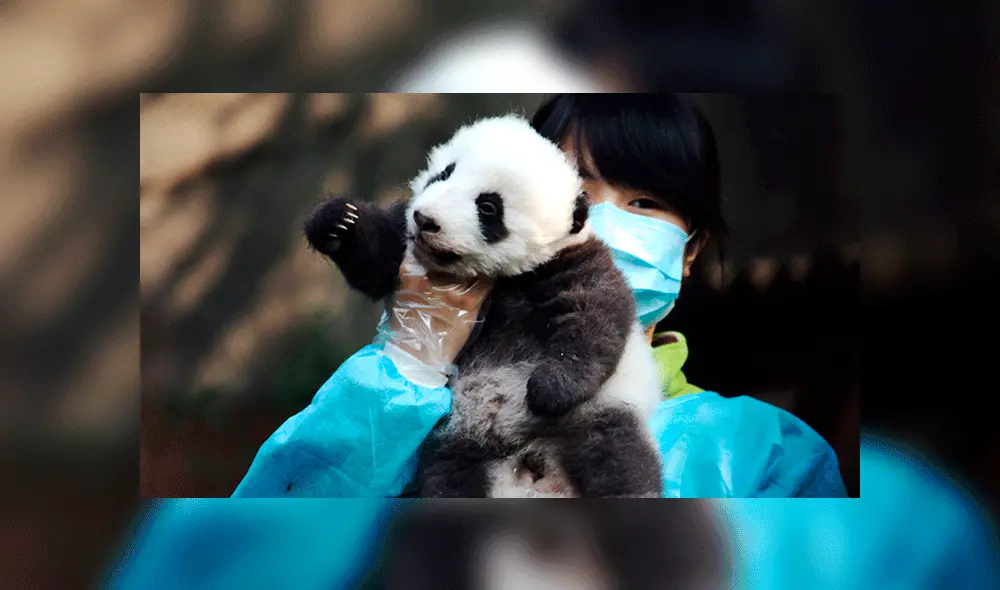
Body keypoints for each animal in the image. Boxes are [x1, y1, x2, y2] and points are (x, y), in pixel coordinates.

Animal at [304, 114, 663, 498]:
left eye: (488, 207)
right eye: (443, 174)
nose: (425, 220)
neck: (501, 277)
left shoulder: (572, 263)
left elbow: (593, 318)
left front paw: (549, 389)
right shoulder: (403, 238)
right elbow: (376, 263)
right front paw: (338, 222)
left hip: (597, 416)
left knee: (618, 461)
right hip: (456, 442)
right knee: (451, 482)